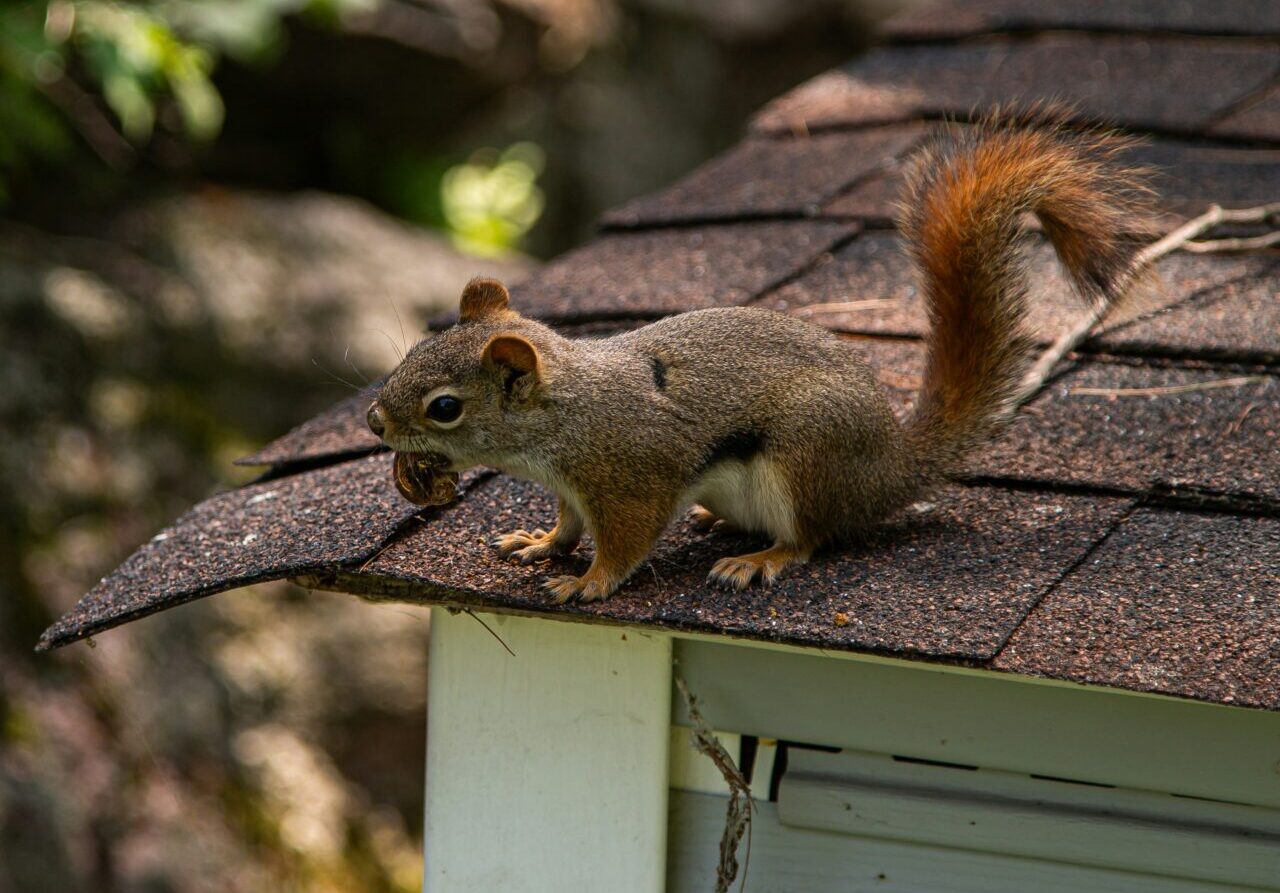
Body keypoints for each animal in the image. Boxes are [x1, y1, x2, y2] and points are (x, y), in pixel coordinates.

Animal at [366, 110, 1150, 603]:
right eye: (417, 352)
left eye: (444, 407)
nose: (375, 422)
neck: (566, 416)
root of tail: (890, 468)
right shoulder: (572, 488)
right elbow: (567, 524)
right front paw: (540, 543)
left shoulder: (630, 479)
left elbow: (623, 543)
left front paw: (587, 581)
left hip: (803, 457)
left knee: (814, 537)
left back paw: (759, 557)